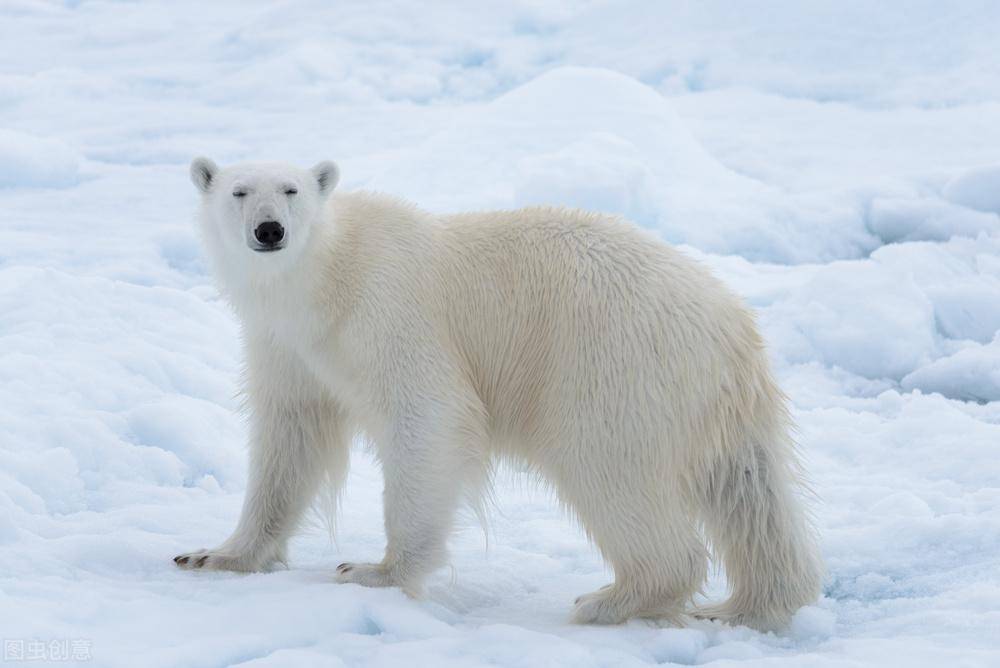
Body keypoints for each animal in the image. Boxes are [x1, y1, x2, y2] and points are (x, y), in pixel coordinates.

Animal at [178, 157, 820, 632]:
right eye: (238, 191)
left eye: (291, 190)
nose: (269, 230)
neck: (326, 278)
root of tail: (733, 327)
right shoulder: (286, 347)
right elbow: (290, 438)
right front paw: (215, 554)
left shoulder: (390, 314)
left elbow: (427, 419)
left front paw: (373, 570)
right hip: (712, 400)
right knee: (750, 493)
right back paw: (745, 604)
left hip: (611, 366)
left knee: (607, 468)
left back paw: (610, 599)